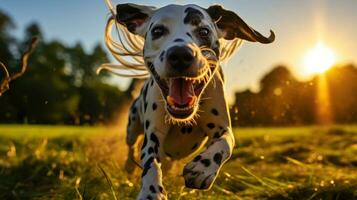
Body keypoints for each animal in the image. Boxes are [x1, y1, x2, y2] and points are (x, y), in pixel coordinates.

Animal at [112, 3, 274, 200]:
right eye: (158, 30)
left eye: (204, 31)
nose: (180, 54)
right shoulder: (153, 136)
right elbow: (150, 162)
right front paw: (151, 190)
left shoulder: (222, 128)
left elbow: (226, 144)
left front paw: (202, 169)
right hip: (132, 125)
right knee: (131, 145)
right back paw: (129, 165)